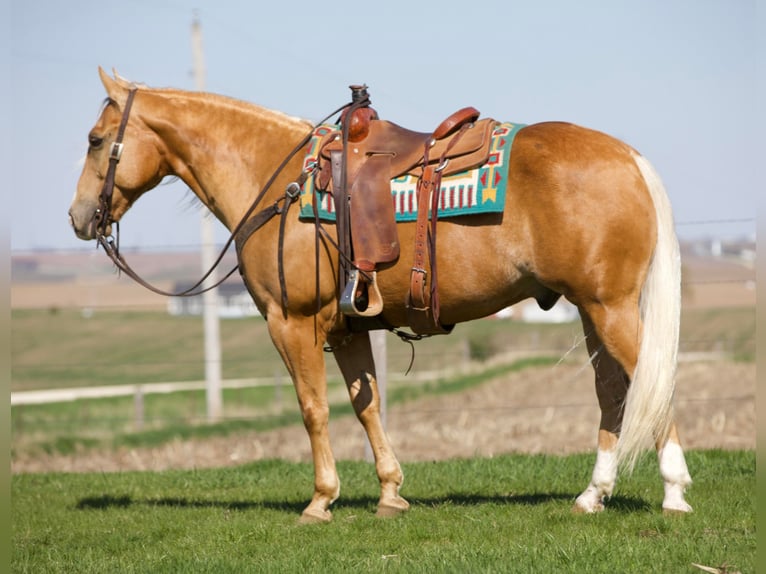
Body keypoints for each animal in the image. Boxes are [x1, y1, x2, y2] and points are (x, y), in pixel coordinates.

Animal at [70, 70, 696, 524]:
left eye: (96, 140)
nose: (78, 218)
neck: (278, 183)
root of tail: (629, 158)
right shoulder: (347, 327)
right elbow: (365, 406)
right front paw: (391, 493)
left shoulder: (290, 322)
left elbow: (313, 408)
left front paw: (320, 500)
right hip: (593, 312)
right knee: (614, 393)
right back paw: (593, 495)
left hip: (610, 310)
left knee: (654, 386)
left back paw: (674, 492)